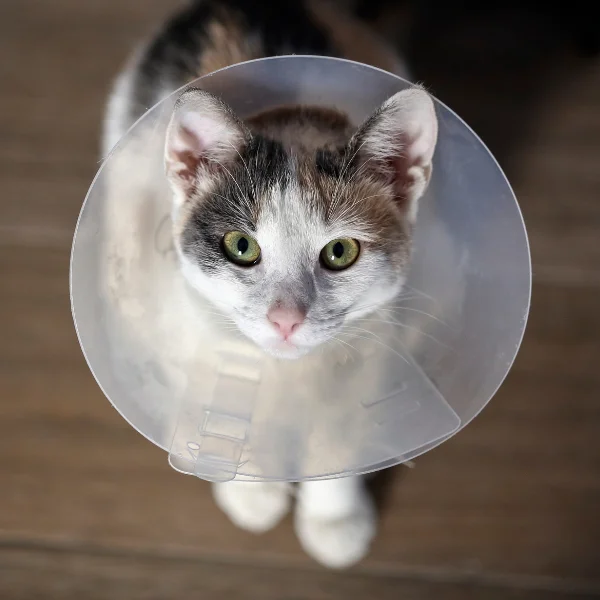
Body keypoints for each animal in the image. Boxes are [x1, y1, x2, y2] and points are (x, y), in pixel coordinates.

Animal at [103, 0, 438, 568]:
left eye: (340, 252)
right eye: (241, 246)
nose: (286, 319)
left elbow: (338, 433)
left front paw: (334, 519)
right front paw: (251, 488)